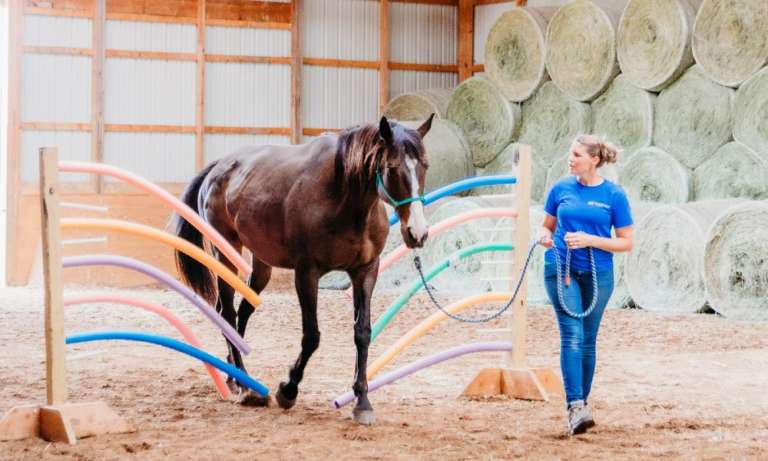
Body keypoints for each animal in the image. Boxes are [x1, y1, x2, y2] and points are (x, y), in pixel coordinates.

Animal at [173, 115, 434, 424]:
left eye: (425, 165)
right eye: (392, 168)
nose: (417, 233)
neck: (344, 199)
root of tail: (218, 167)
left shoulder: (366, 271)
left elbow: (363, 333)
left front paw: (362, 401)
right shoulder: (307, 273)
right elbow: (312, 336)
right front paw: (288, 389)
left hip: (262, 264)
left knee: (242, 311)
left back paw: (234, 375)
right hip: (225, 251)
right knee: (227, 312)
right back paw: (245, 387)